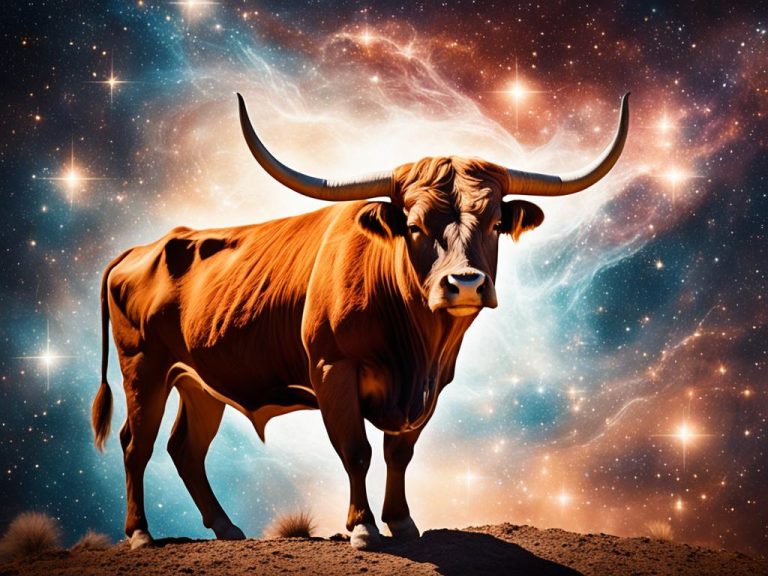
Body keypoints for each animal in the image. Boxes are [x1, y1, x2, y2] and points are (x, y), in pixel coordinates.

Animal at [92, 92, 629, 550]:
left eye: (496, 223)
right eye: (414, 225)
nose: (465, 284)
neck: (417, 348)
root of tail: (145, 247)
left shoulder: (432, 386)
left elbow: (399, 453)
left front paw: (402, 522)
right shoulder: (333, 370)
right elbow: (356, 450)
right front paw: (363, 527)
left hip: (201, 382)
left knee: (186, 448)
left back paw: (226, 528)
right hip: (143, 369)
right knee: (136, 444)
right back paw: (139, 534)